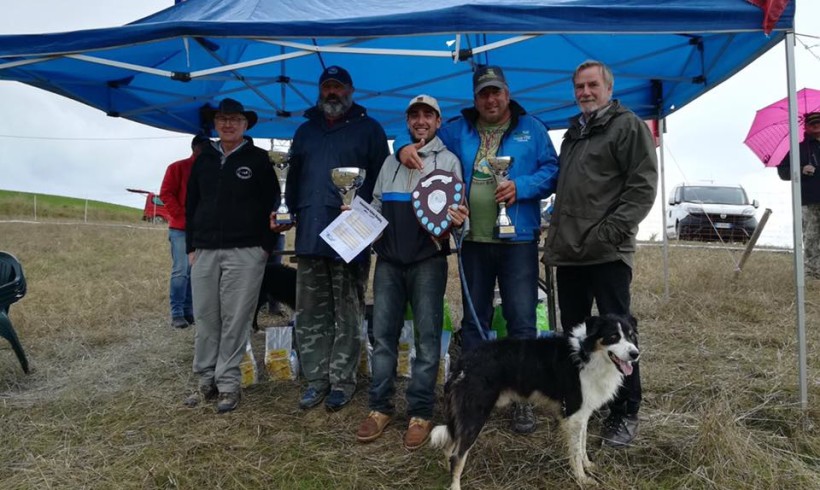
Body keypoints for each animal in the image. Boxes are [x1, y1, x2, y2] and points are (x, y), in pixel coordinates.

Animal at [430, 314, 640, 486]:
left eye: (631, 336)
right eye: (613, 336)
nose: (635, 354)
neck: (587, 354)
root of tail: (464, 362)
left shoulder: (582, 414)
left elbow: (582, 444)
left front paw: (588, 466)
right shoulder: (573, 414)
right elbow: (575, 451)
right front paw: (582, 478)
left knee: (450, 448)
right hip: (475, 415)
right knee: (457, 456)